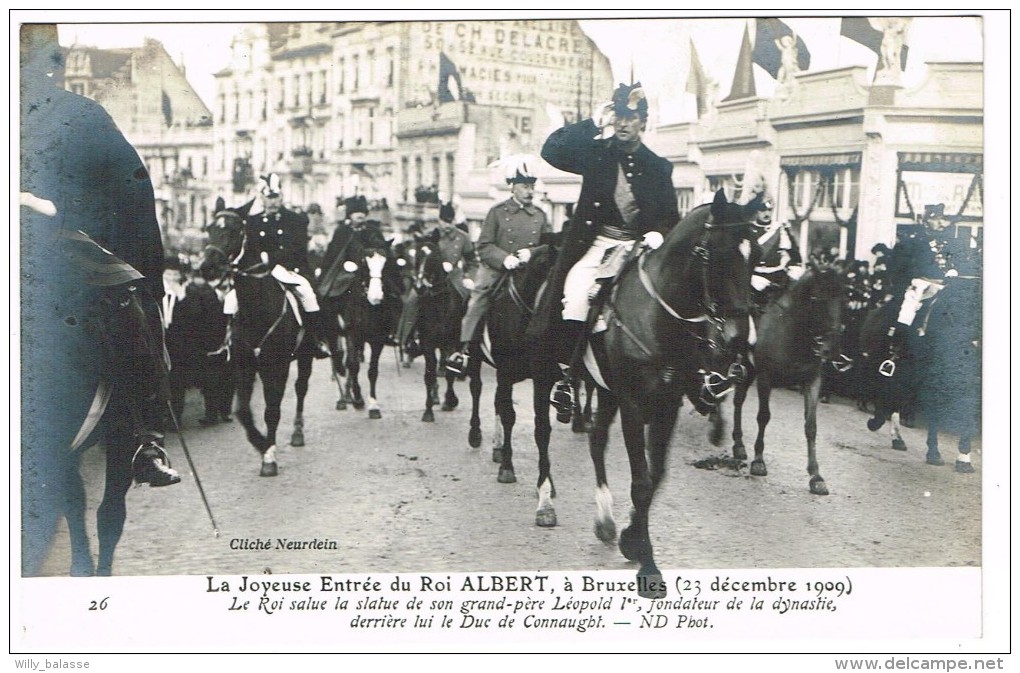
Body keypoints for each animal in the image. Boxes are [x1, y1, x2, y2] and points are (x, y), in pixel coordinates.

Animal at [587, 190, 762, 599]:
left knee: (597, 437)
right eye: (717, 253)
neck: (657, 317)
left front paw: (632, 539)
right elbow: (640, 483)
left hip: (607, 392)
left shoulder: (667, 405)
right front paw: (649, 567)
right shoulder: (634, 405)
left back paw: (606, 521)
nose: (739, 339)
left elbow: (656, 478)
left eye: (757, 255)